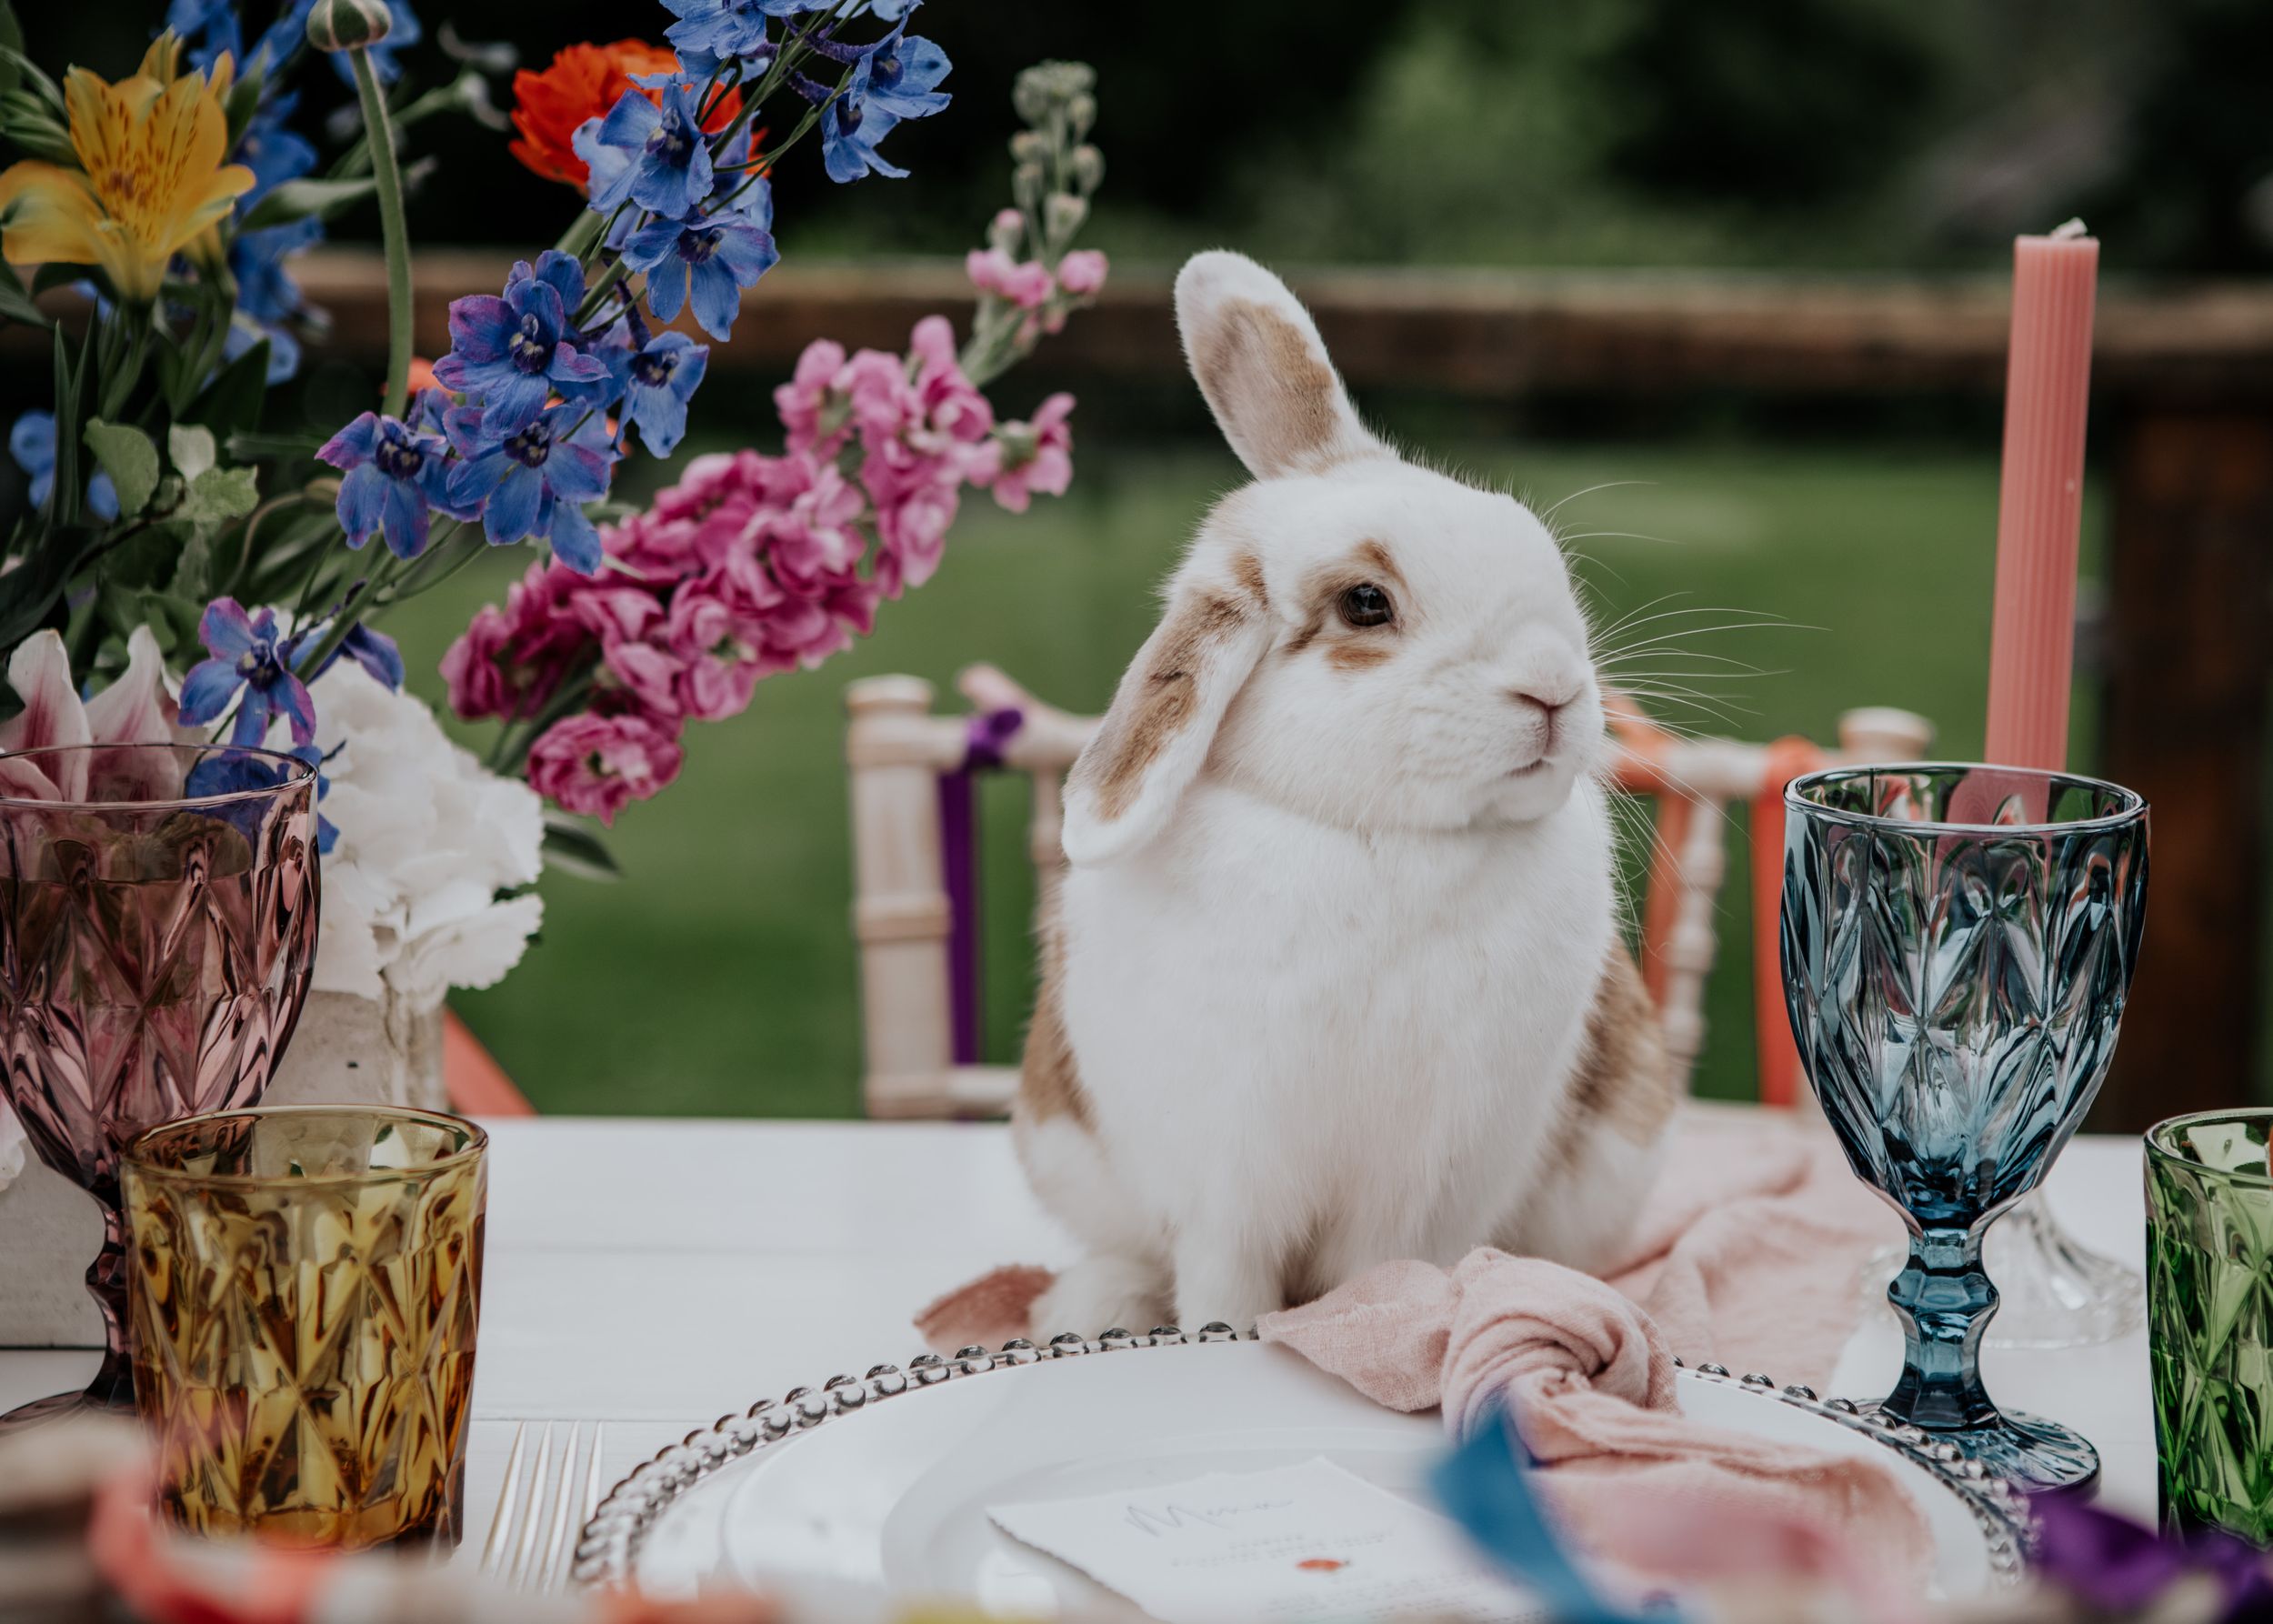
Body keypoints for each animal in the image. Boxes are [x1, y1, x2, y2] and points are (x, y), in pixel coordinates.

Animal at [1012, 250, 1678, 1340]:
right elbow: (1224, 1289)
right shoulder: (1226, 1182)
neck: (1381, 839)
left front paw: (1383, 1327)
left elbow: (1383, 1270)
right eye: (1365, 603)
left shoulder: (1423, 1184)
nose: (1554, 688)